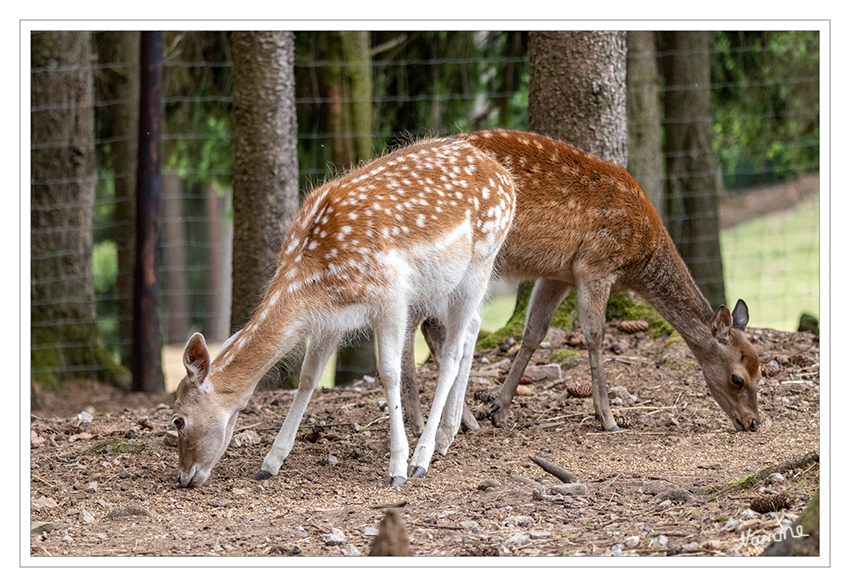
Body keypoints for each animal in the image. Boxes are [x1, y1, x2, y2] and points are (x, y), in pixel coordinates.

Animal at [170, 136, 512, 490]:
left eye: (178, 420)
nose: (184, 478)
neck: (314, 277)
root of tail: (504, 175)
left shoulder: (391, 296)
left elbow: (389, 372)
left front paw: (397, 469)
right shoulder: (329, 320)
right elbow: (308, 377)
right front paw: (270, 463)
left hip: (480, 262)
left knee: (453, 351)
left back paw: (423, 457)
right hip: (443, 285)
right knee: (472, 325)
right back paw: (447, 436)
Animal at [400, 129, 760, 436]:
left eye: (761, 372)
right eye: (737, 378)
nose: (753, 422)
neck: (639, 260)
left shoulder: (559, 274)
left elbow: (535, 332)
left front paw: (499, 409)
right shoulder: (595, 264)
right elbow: (595, 333)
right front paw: (608, 418)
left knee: (431, 326)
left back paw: (462, 419)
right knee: (418, 324)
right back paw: (423, 423)